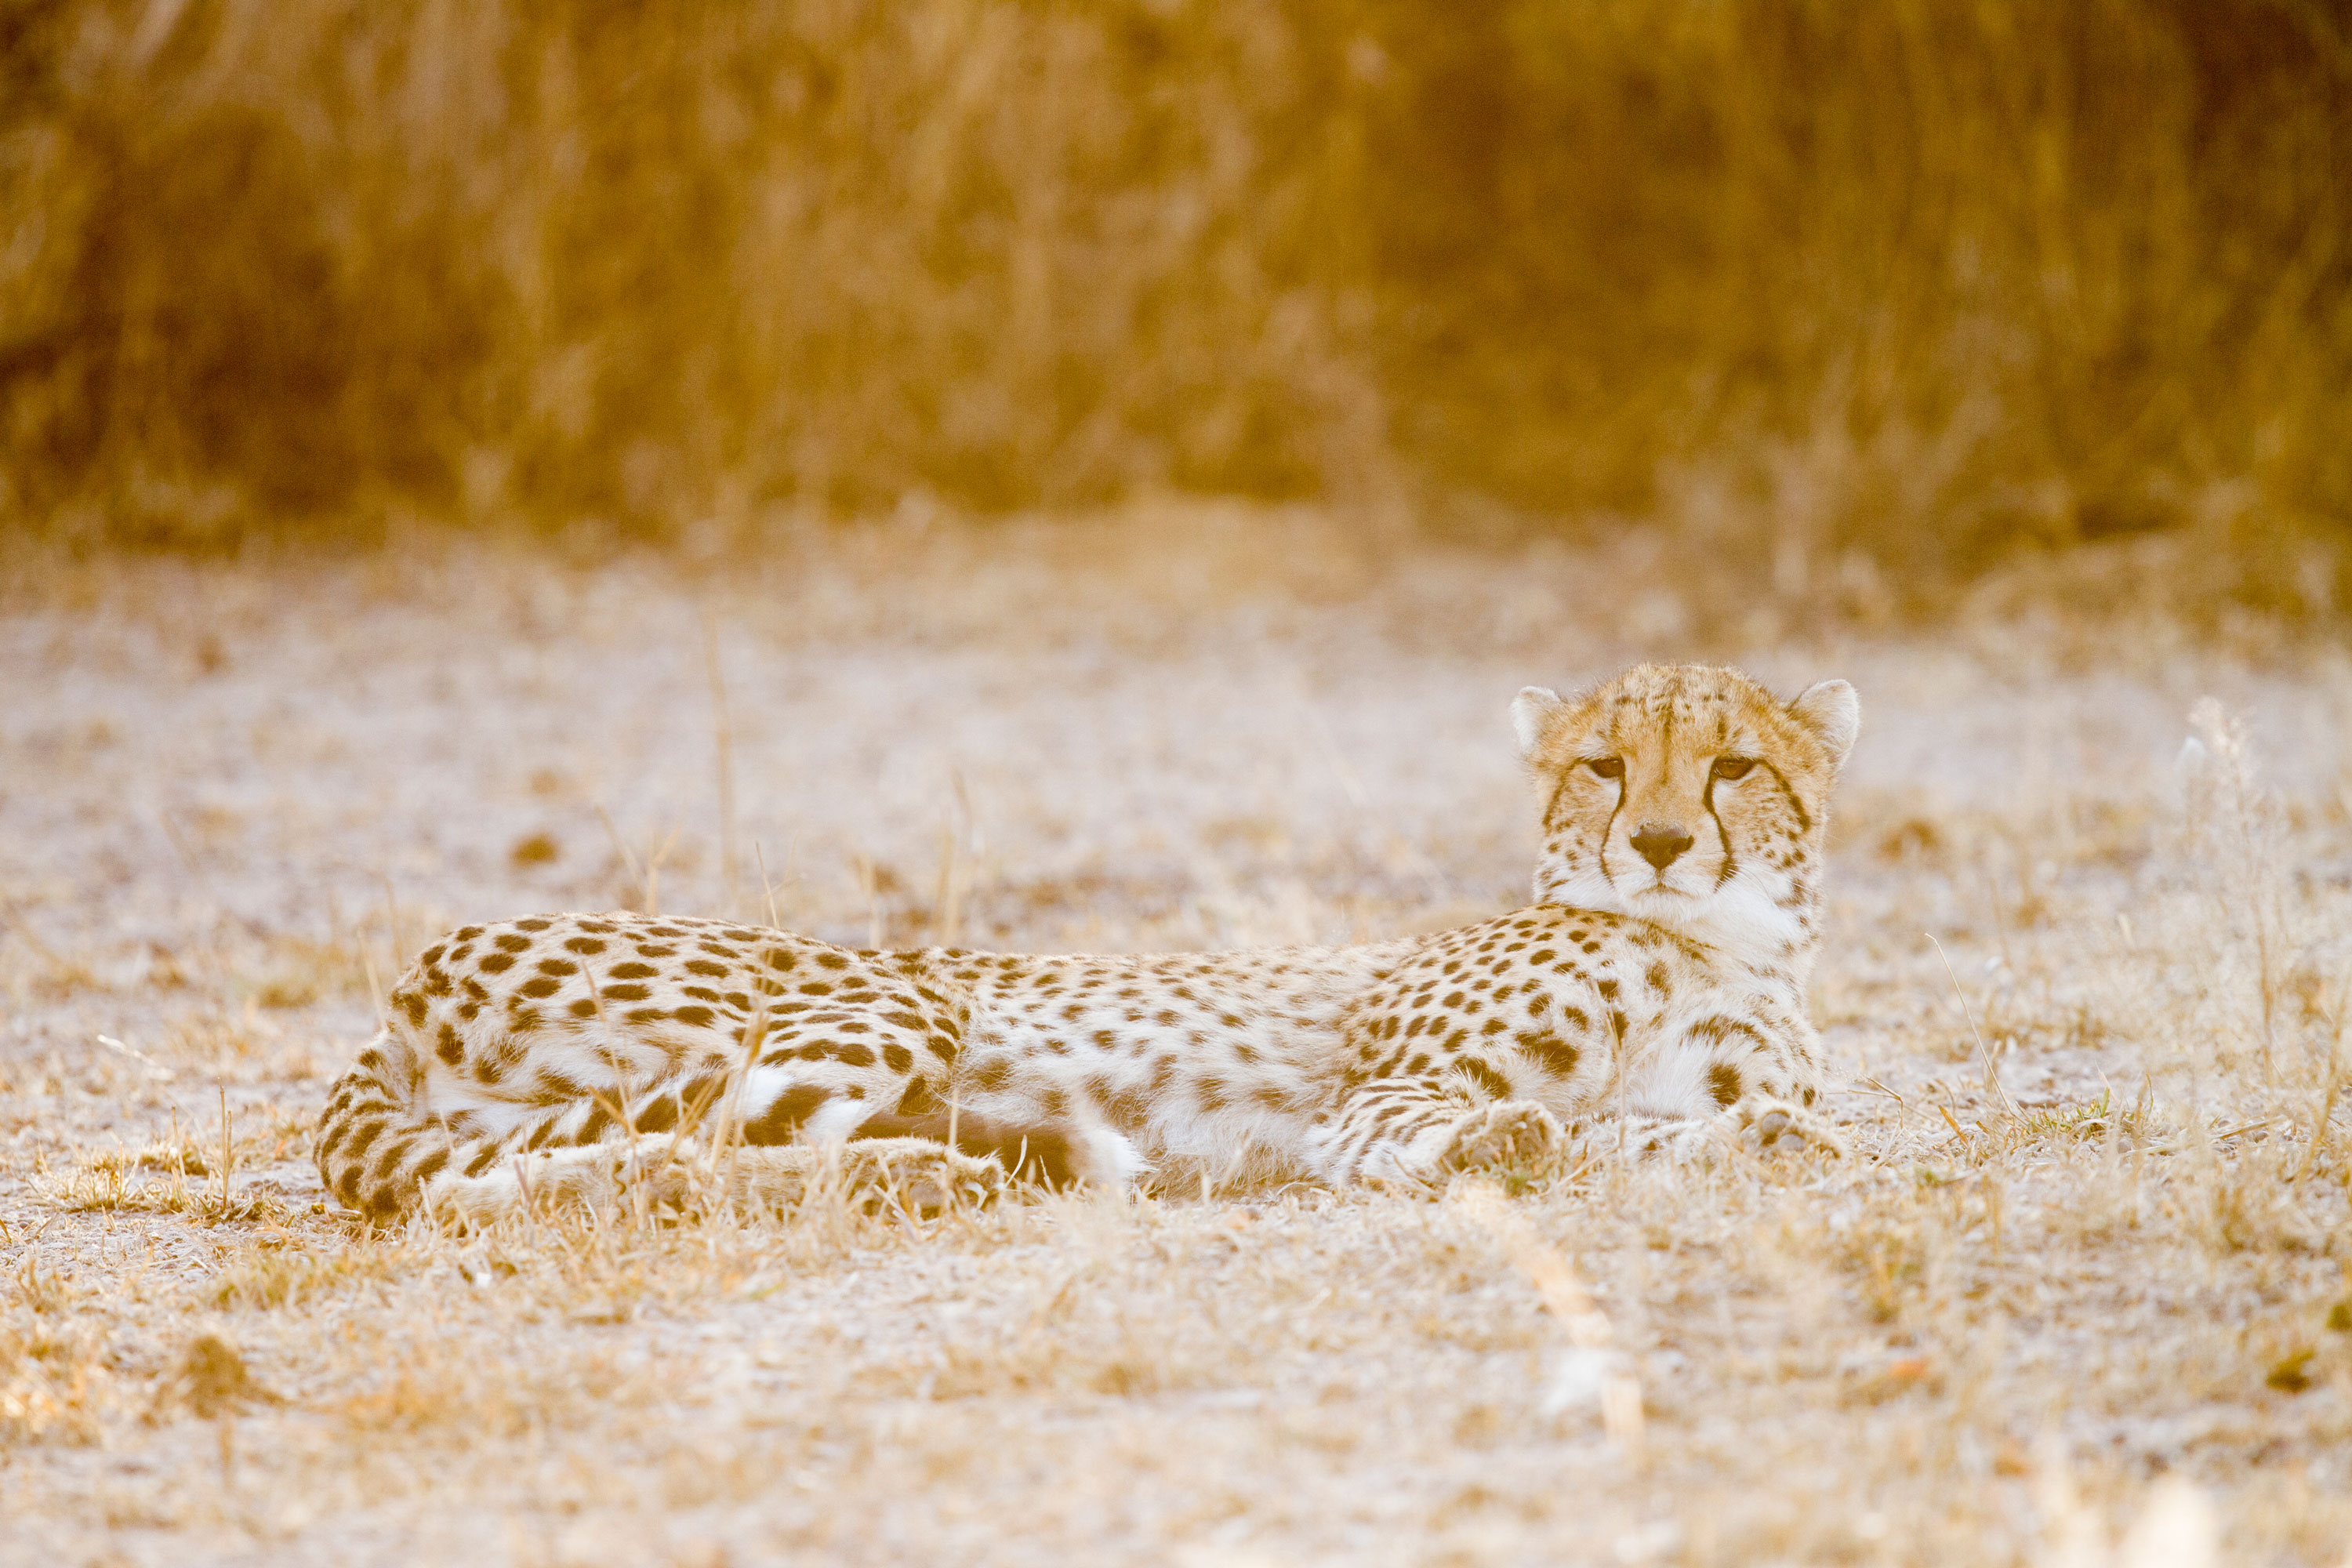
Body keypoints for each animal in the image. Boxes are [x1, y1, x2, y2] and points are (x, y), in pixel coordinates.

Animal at [314, 662, 1859, 1225]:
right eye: (1605, 766)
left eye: (1731, 768)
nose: (1658, 843)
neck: (1713, 942)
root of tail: (412, 972)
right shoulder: (1372, 1103)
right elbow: (1472, 1127)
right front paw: (1505, 1143)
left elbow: (1708, 1129)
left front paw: (1749, 1137)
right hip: (888, 1007)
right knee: (666, 1161)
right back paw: (934, 1175)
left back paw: (973, 1165)